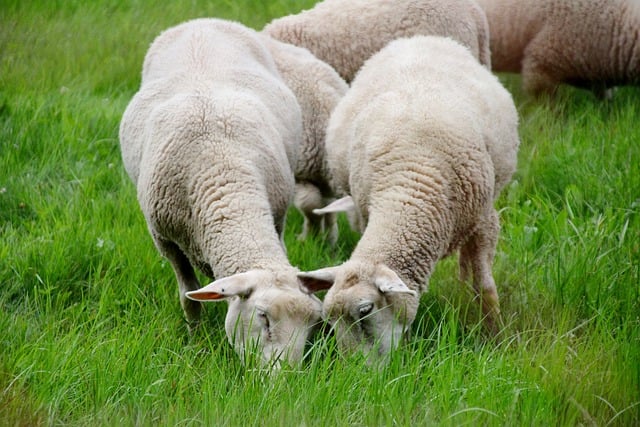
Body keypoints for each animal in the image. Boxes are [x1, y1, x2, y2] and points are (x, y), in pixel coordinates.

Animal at [117, 18, 322, 368]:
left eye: (312, 326)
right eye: (263, 317)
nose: (285, 378)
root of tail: (202, 21)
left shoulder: (277, 217)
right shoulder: (166, 240)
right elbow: (188, 298)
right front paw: (195, 342)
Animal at [298, 36, 524, 362]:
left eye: (365, 310)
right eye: (329, 321)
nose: (355, 369)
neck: (410, 188)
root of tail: (418, 38)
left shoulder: (484, 220)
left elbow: (485, 286)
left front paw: (494, 336)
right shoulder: (367, 211)